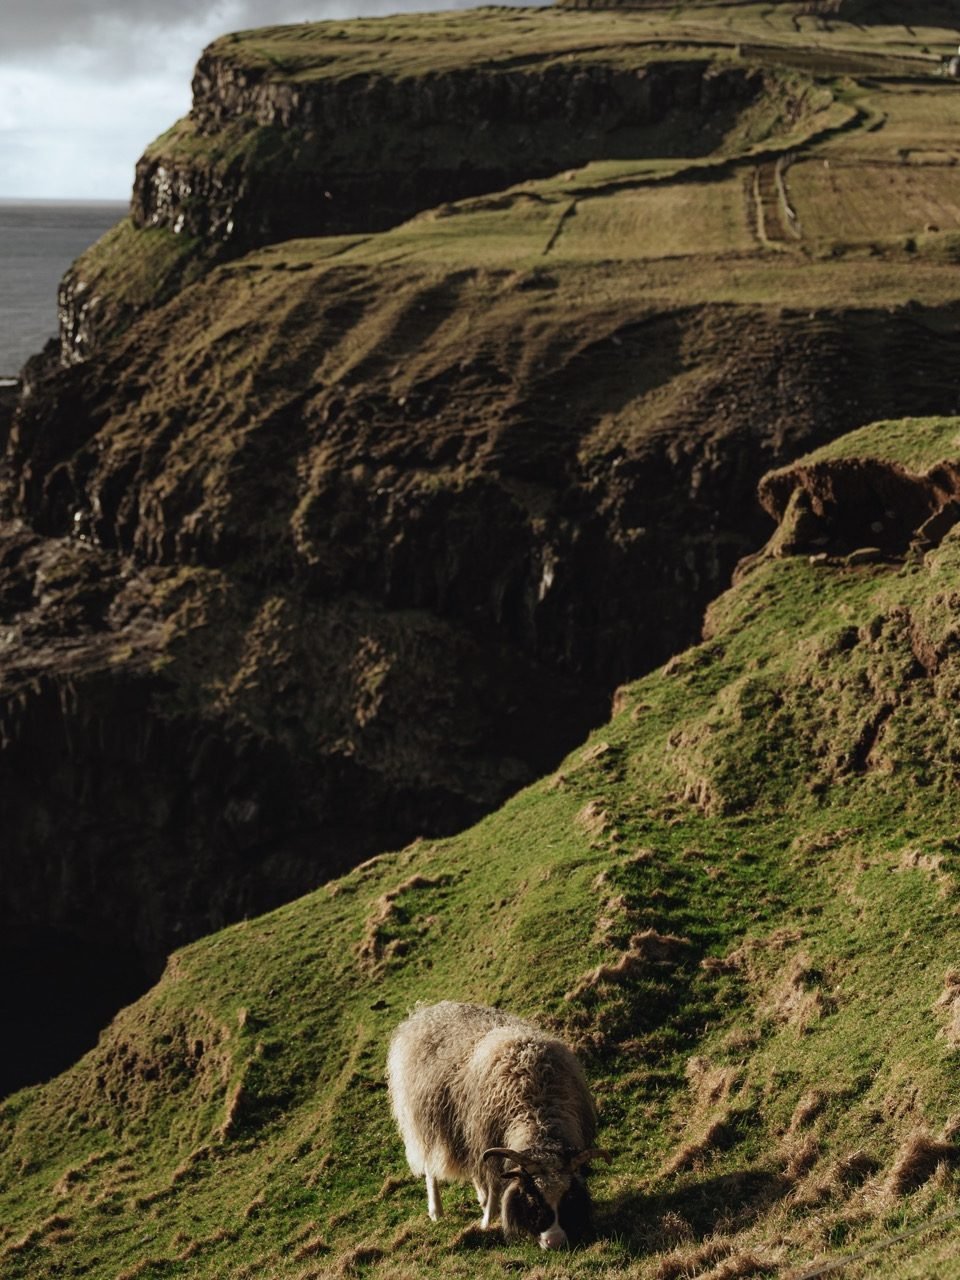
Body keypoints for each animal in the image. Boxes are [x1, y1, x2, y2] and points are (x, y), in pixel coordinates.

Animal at [386, 1000, 609, 1250]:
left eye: (567, 1199)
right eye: (532, 1198)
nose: (554, 1242)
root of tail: (427, 1011)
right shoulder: (489, 1138)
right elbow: (494, 1185)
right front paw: (486, 1222)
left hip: (464, 1125)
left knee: (472, 1162)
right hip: (425, 1119)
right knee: (430, 1167)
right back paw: (436, 1210)